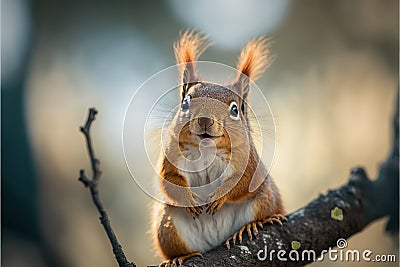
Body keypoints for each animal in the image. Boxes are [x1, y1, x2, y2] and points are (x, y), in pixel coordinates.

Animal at [150, 30, 284, 266]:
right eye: (185, 102)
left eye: (235, 109)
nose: (205, 120)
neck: (206, 150)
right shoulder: (171, 154)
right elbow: (168, 180)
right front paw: (189, 199)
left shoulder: (248, 160)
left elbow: (243, 181)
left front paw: (220, 196)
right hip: (166, 227)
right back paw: (181, 256)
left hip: (265, 198)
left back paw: (253, 225)